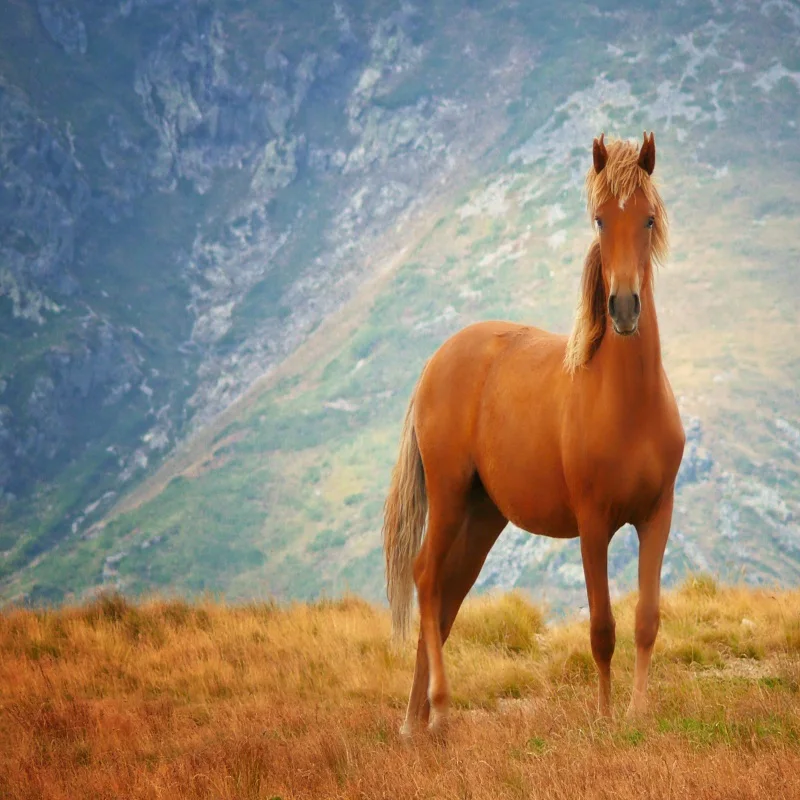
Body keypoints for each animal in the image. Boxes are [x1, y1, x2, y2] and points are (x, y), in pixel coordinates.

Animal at [382, 132, 686, 736]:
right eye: (599, 219)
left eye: (647, 218)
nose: (623, 308)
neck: (629, 405)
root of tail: (436, 361)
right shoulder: (593, 524)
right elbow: (602, 628)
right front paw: (604, 717)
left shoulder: (656, 515)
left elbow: (645, 620)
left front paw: (637, 713)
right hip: (449, 498)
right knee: (426, 579)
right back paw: (437, 712)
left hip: (482, 517)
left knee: (447, 599)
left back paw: (415, 722)